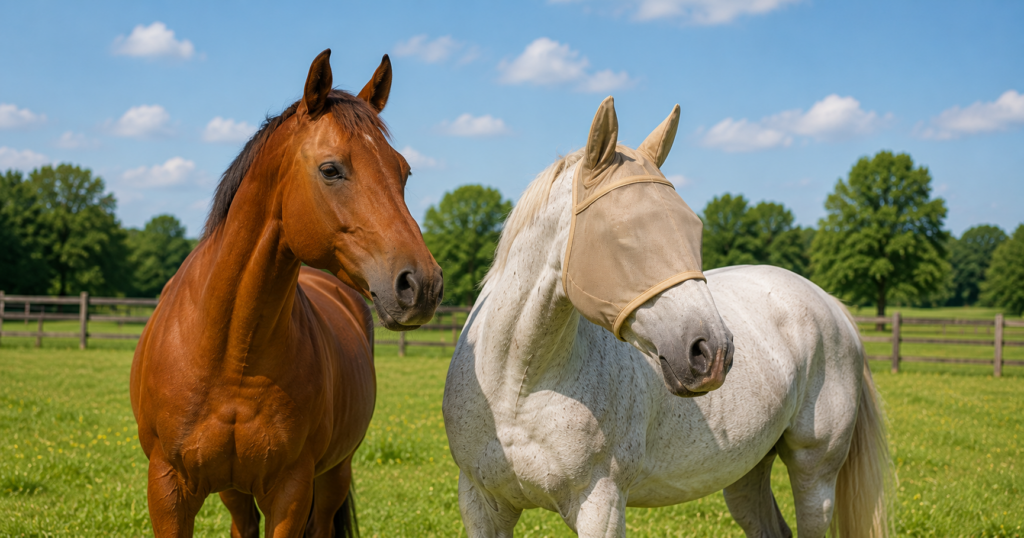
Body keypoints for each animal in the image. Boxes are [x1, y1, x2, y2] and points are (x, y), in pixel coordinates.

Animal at [130, 50, 443, 537]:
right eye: (331, 169)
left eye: (404, 172)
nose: (422, 284)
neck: (231, 354)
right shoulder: (168, 489)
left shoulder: (291, 491)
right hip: (234, 489)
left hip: (333, 475)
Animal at [443, 97, 890, 537]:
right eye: (620, 233)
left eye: (694, 227)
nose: (713, 352)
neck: (517, 386)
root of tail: (829, 303)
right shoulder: (481, 505)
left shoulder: (601, 506)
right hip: (748, 470)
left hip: (815, 473)